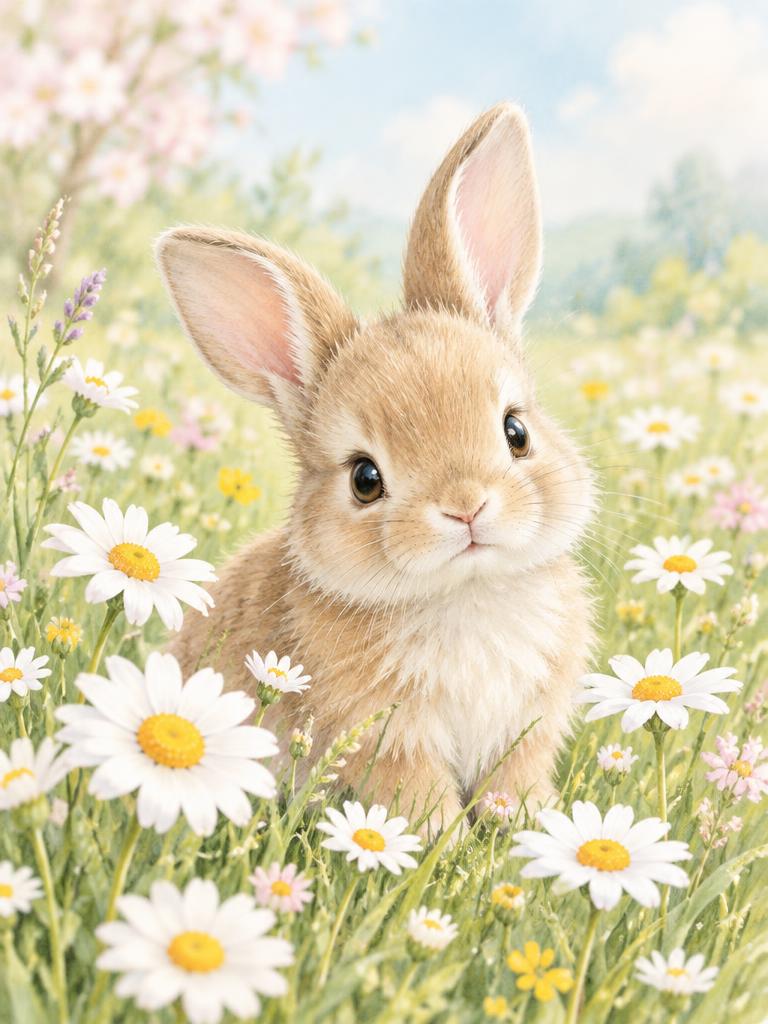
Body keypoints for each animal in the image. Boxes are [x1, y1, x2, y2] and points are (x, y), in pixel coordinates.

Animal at [155, 102, 595, 836]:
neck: (464, 592)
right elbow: (417, 792)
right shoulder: (389, 738)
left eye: (516, 431)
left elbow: (516, 780)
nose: (466, 507)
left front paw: (529, 822)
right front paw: (440, 838)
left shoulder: (525, 731)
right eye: (365, 479)